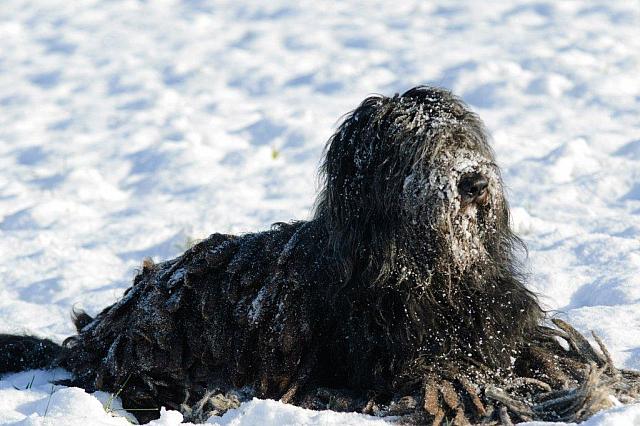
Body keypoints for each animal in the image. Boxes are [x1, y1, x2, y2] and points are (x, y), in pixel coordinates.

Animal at [1, 85, 636, 422]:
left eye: (461, 139)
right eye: (416, 147)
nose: (473, 181)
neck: (432, 272)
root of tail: (103, 327)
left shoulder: (504, 334)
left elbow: (558, 359)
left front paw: (609, 380)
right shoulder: (417, 370)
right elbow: (487, 390)